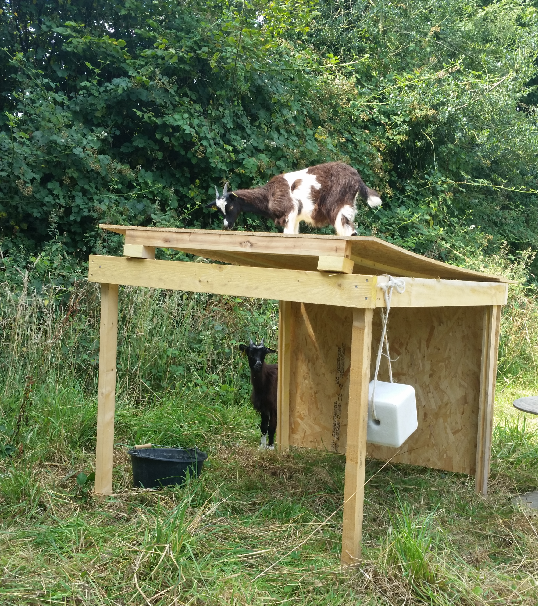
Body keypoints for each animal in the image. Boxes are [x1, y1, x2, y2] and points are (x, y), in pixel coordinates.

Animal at [209, 162, 382, 238]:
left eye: (230, 206)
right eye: (219, 210)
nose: (226, 225)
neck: (269, 194)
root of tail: (357, 177)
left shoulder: (289, 212)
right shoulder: (296, 218)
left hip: (339, 205)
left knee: (348, 229)